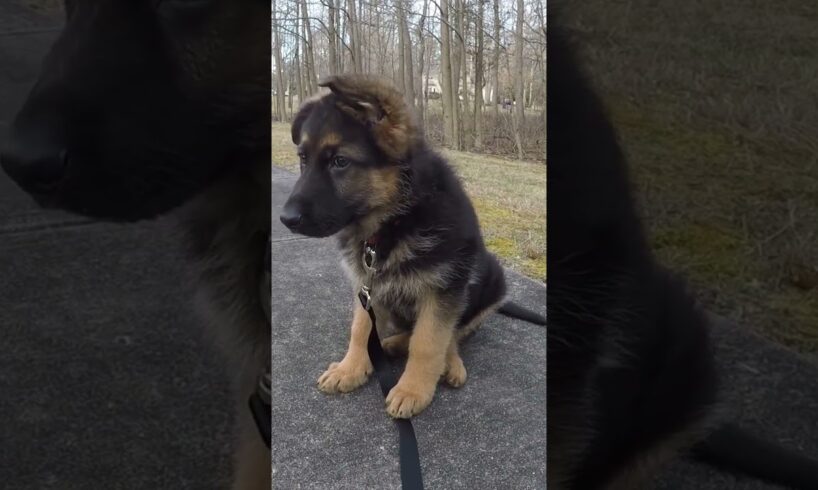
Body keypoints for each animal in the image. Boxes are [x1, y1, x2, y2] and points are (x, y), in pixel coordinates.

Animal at [278, 74, 540, 420]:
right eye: (303, 159)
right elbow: (361, 328)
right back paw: (389, 344)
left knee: (453, 334)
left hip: (491, 278)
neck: (394, 219)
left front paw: (413, 389)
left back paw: (447, 362)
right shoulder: (367, 285)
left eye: (340, 162)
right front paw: (352, 367)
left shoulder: (442, 289)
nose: (285, 219)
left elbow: (428, 342)